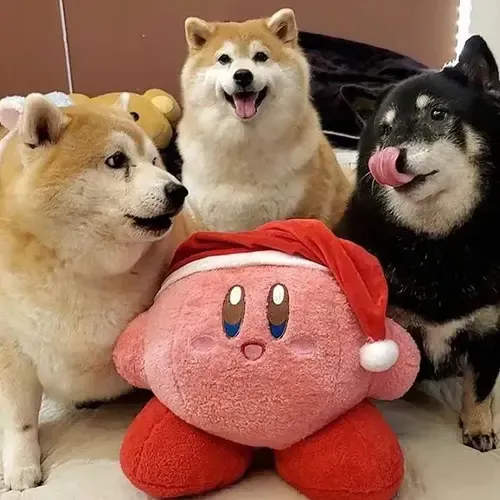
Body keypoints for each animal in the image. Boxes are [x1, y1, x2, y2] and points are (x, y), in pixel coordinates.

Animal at [0, 94, 188, 490]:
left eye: (154, 161)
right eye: (116, 161)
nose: (179, 189)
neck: (83, 272)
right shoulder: (11, 349)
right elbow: (19, 419)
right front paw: (20, 467)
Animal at [336, 35, 500, 452]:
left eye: (438, 114)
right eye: (385, 130)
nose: (389, 158)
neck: (437, 245)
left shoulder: (490, 331)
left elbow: (480, 387)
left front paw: (479, 427)